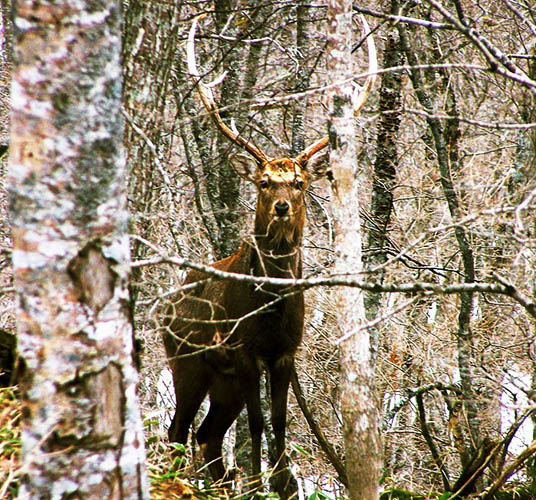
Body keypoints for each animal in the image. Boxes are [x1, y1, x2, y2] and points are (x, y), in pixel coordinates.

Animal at [161, 13, 374, 498]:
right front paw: (260, 483)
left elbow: (279, 420)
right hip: (186, 361)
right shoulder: (244, 351)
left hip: (223, 383)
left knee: (208, 434)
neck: (271, 308)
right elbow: (258, 424)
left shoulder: (285, 353)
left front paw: (283, 484)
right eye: (263, 182)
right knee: (179, 429)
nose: (280, 207)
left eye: (298, 182)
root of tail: (166, 307)